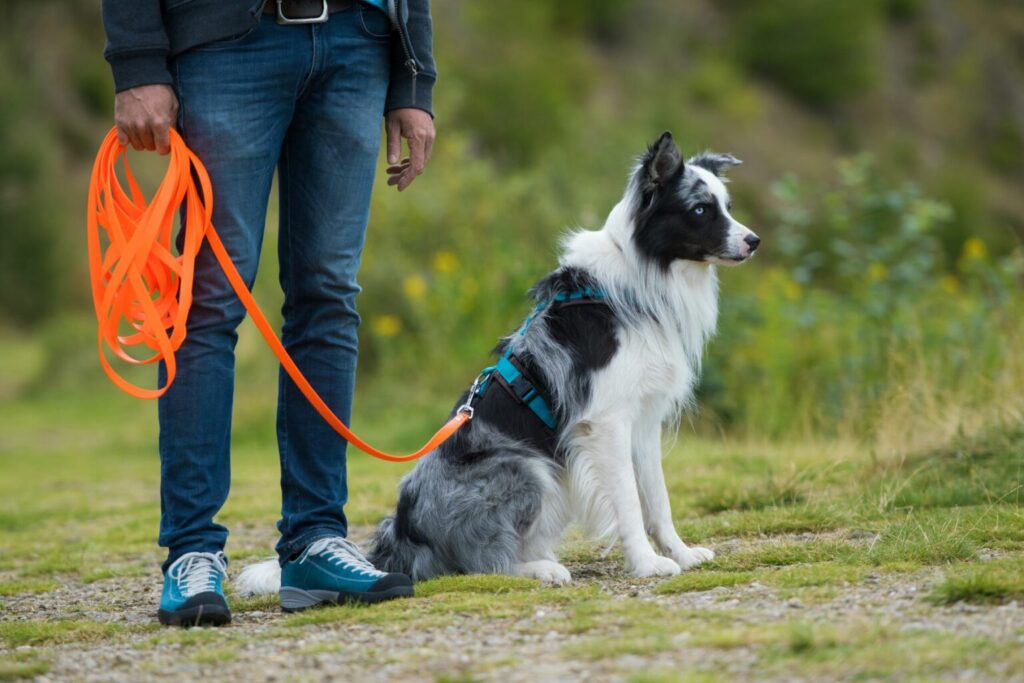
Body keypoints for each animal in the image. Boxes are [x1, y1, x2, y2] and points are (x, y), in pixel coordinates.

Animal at [235, 132, 757, 593]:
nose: (754, 241)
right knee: (482, 563)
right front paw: (648, 564)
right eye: (700, 210)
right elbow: (629, 501)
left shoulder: (643, 422)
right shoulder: (604, 423)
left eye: (727, 205)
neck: (644, 277)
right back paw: (539, 569)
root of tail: (403, 534)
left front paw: (681, 553)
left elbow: (658, 499)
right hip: (527, 467)